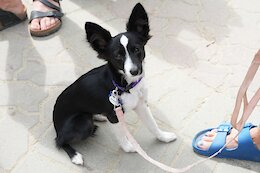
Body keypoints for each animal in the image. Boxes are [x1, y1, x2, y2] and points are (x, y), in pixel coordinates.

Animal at [52, 2, 176, 165]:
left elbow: (152, 124)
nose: (135, 71)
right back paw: (75, 155)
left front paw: (163, 137)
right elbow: (122, 135)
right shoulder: (114, 115)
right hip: (83, 124)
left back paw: (98, 116)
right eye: (117, 56)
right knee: (59, 141)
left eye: (137, 49)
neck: (125, 86)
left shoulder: (141, 105)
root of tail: (55, 124)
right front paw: (129, 148)